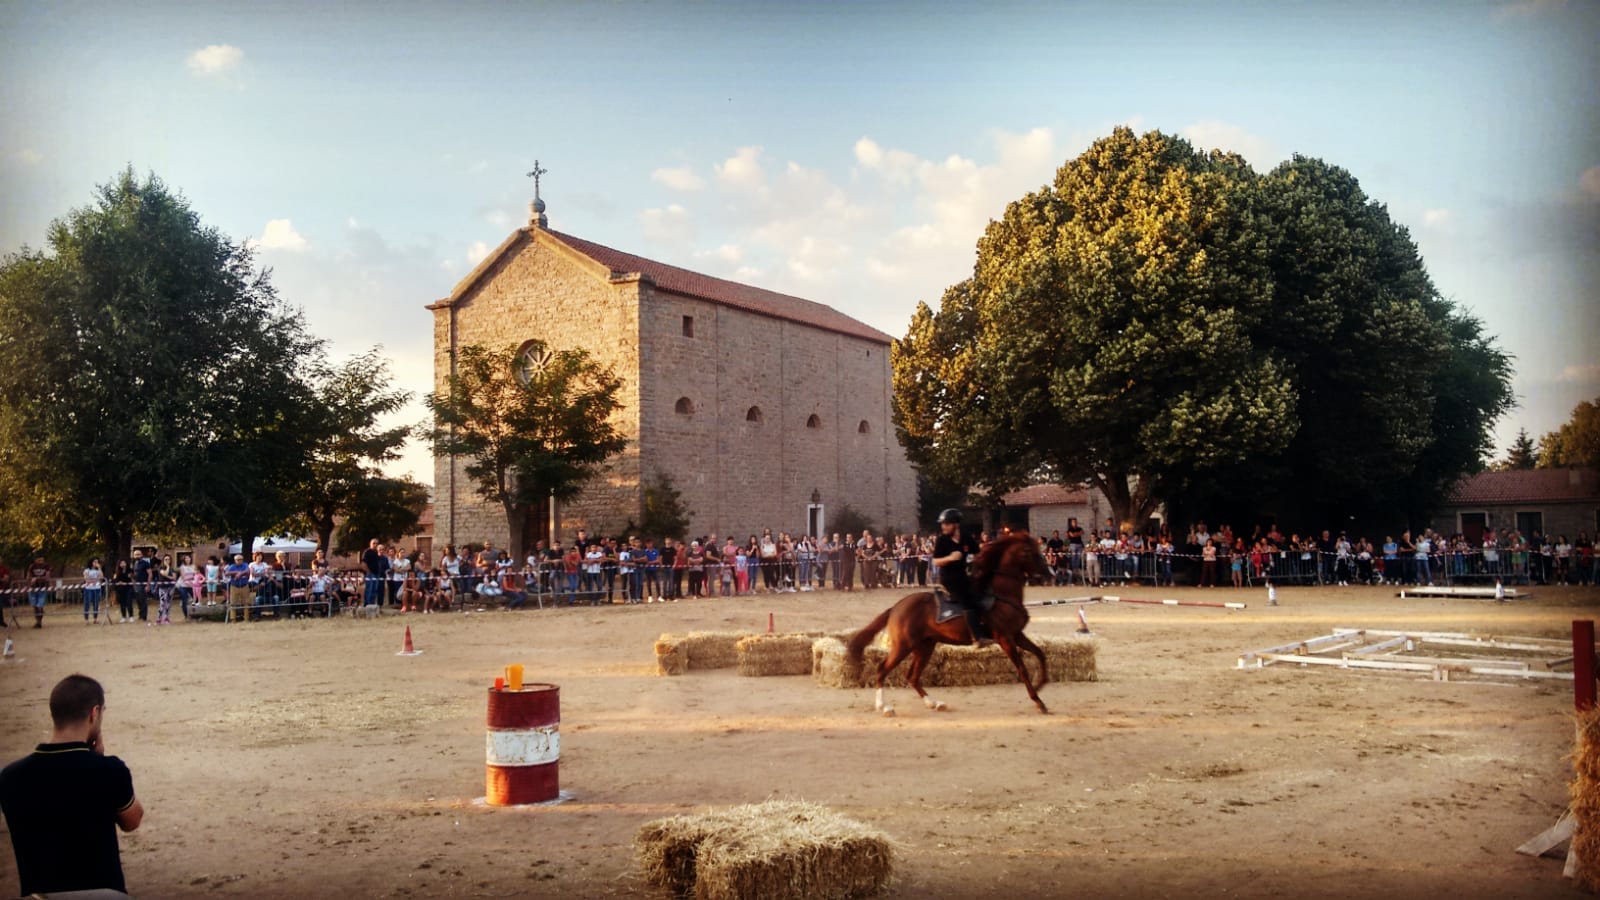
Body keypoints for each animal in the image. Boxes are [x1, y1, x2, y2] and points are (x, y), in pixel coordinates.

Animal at [844, 531, 1056, 714]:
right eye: (1029, 551)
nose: (1049, 573)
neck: (1001, 594)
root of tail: (896, 607)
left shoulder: (1017, 635)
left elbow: (1040, 654)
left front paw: (1040, 683)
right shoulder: (1005, 638)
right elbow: (1022, 669)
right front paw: (1038, 701)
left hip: (925, 646)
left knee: (912, 676)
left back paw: (934, 703)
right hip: (904, 646)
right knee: (882, 669)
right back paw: (885, 707)